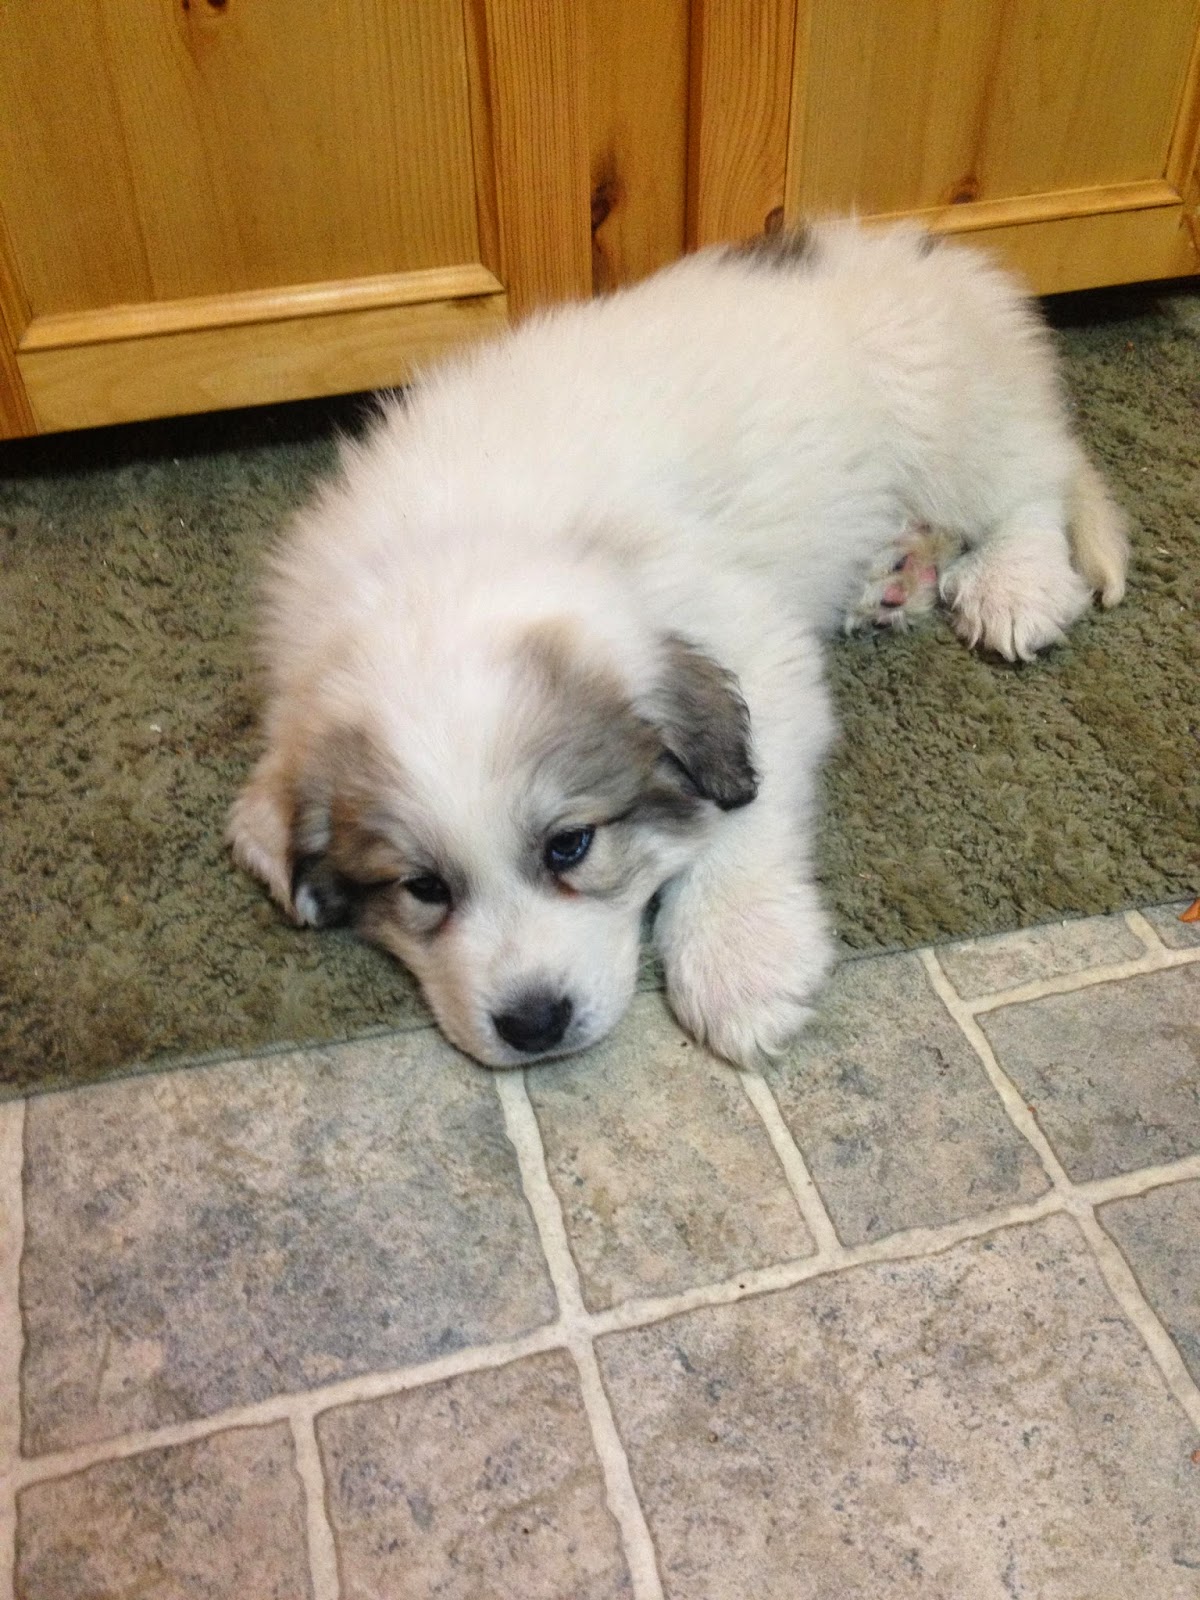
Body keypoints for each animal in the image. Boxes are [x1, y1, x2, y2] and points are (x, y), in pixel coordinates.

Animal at [227, 219, 1126, 1068]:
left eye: (571, 846)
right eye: (422, 887)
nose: (533, 1024)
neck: (446, 557)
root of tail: (928, 250)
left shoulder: (753, 649)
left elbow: (740, 820)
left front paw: (740, 963)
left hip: (944, 414)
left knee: (1029, 489)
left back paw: (1014, 584)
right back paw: (896, 575)